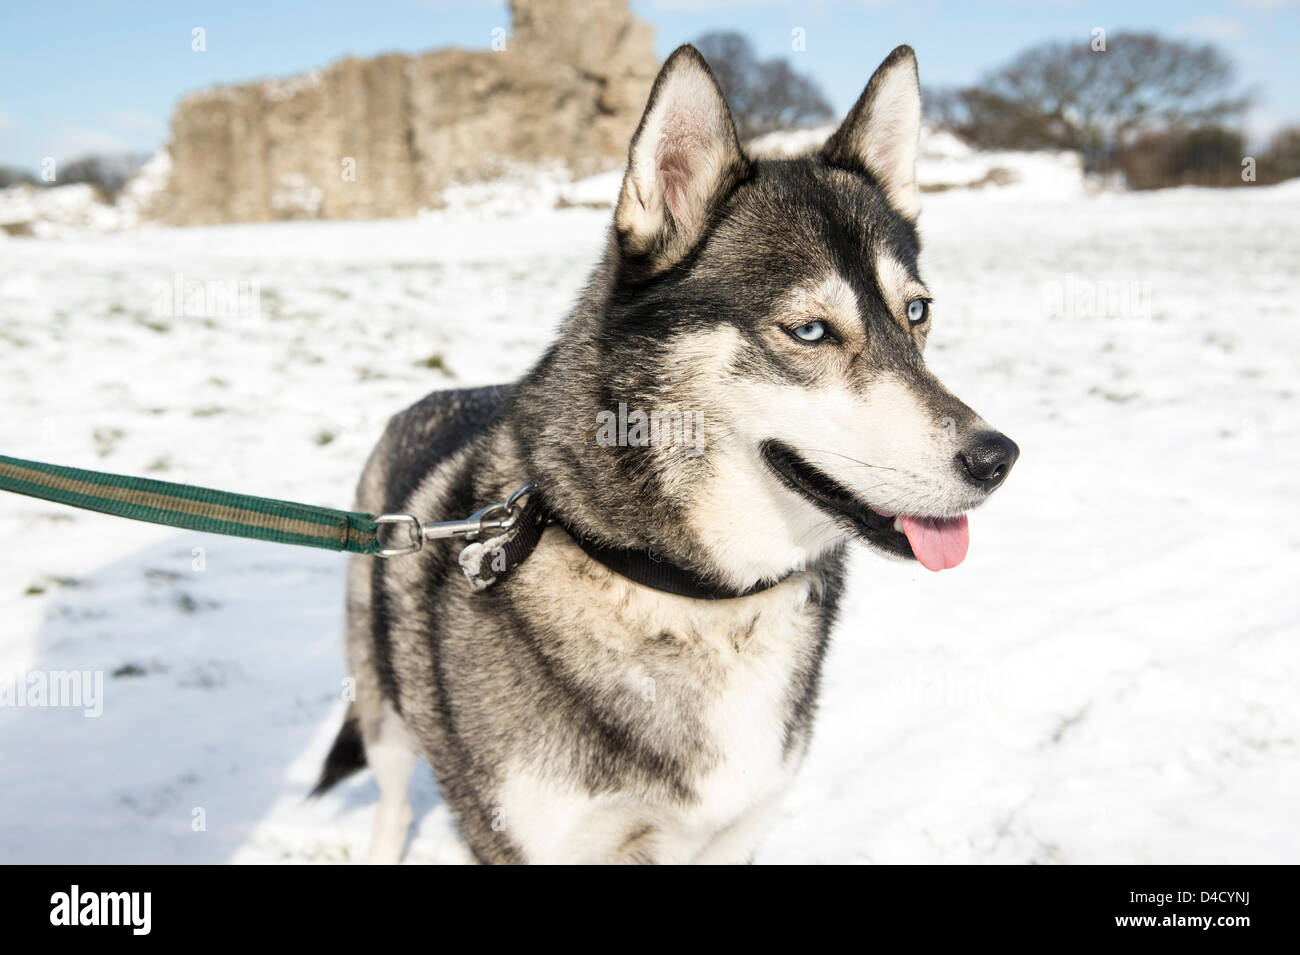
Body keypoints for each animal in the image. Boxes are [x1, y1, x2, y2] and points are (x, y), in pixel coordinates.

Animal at [312, 42, 1013, 867]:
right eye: (810, 330)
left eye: (917, 312)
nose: (997, 457)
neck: (704, 598)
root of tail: (431, 396)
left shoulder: (735, 833)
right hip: (383, 711)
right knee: (391, 801)